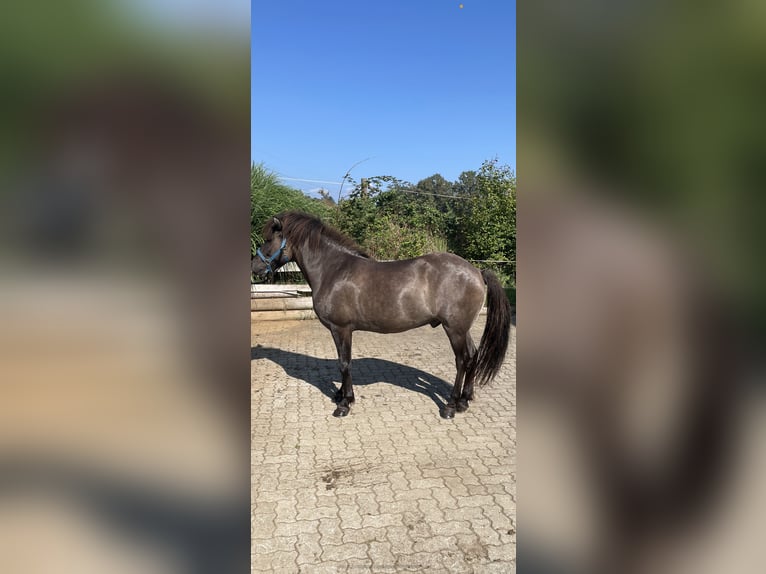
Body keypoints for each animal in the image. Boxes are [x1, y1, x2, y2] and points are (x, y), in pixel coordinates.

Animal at [252, 211, 512, 418]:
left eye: (269, 239)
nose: (255, 267)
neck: (333, 270)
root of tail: (476, 271)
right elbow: (342, 362)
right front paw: (340, 395)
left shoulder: (341, 328)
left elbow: (344, 363)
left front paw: (344, 403)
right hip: (462, 329)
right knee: (473, 356)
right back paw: (464, 400)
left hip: (454, 329)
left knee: (462, 360)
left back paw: (450, 405)